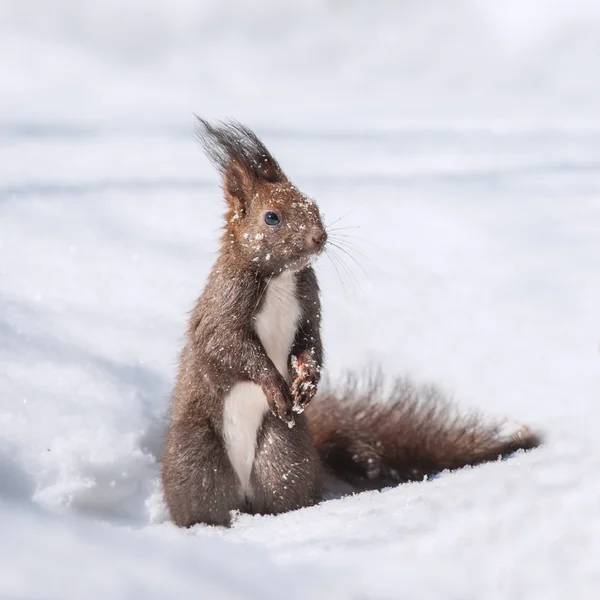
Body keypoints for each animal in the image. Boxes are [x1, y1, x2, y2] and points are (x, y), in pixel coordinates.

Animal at [162, 119, 540, 528]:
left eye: (313, 205)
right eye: (272, 217)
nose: (320, 237)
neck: (280, 277)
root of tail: (243, 498)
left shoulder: (309, 307)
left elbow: (310, 342)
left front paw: (306, 383)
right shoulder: (224, 308)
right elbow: (230, 347)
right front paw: (276, 386)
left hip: (284, 453)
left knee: (280, 489)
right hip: (198, 460)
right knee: (205, 502)